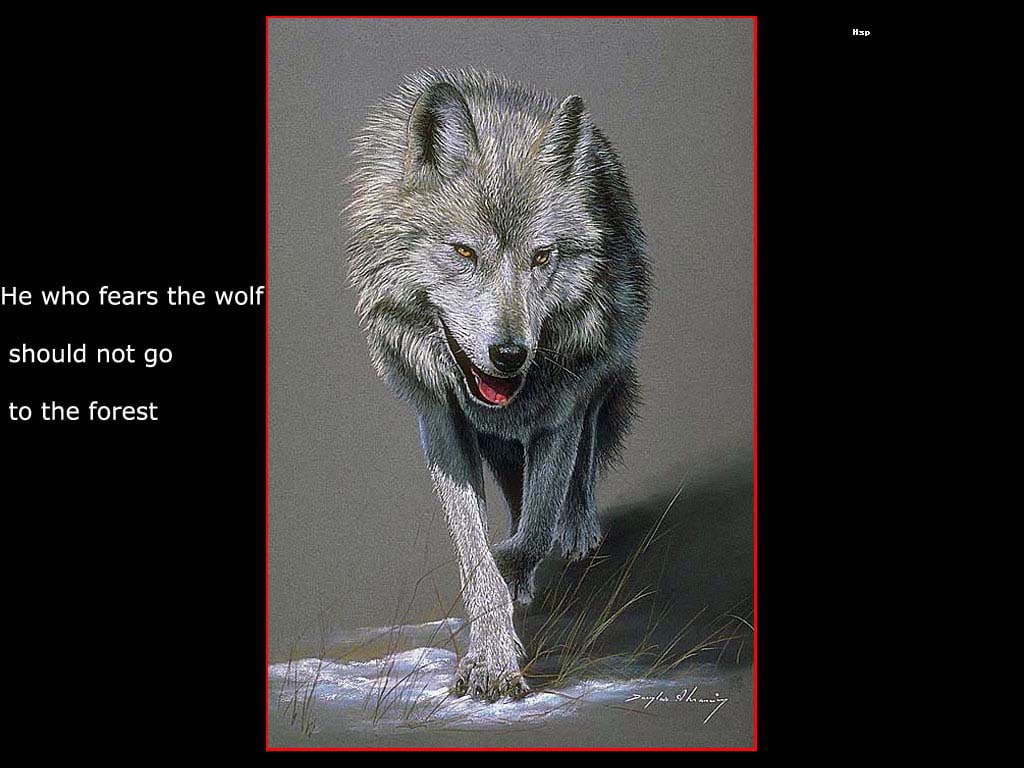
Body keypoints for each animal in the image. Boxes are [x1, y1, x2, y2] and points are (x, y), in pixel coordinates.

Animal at [347, 69, 650, 701]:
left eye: (542, 257)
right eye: (464, 251)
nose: (509, 355)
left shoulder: (561, 415)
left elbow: (530, 534)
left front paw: (508, 602)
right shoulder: (441, 424)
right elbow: (476, 554)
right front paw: (491, 653)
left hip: (597, 384)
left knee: (581, 465)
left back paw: (577, 531)